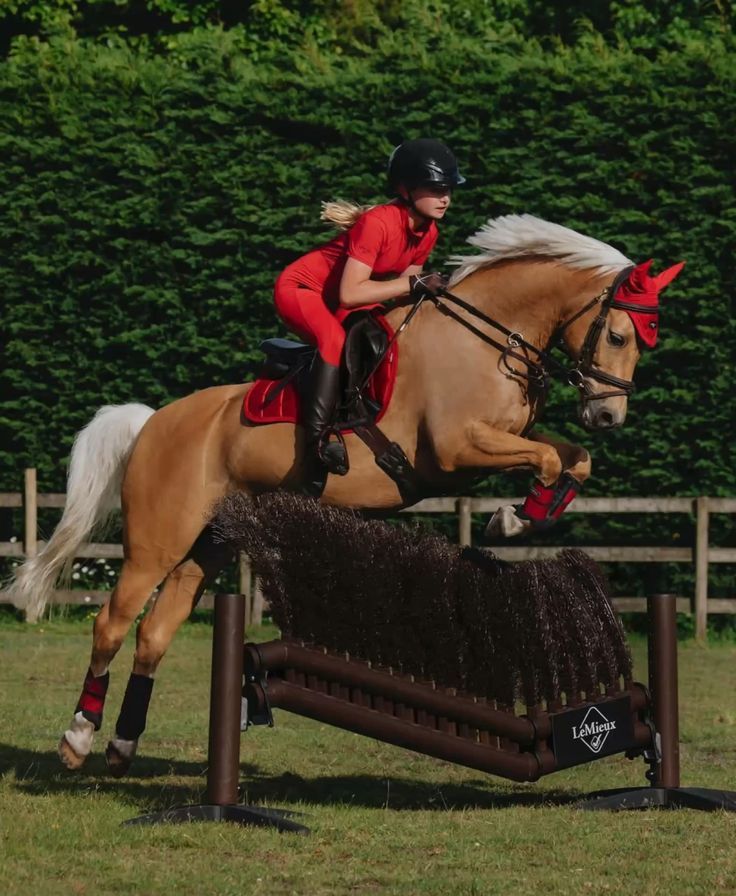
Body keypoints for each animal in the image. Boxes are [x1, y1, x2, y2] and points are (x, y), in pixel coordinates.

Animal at [7, 213, 683, 774]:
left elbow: (572, 460)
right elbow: (547, 458)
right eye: (619, 336)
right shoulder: (455, 451)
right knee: (113, 624)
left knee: (155, 632)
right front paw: (510, 522)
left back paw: (123, 745)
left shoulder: (503, 437)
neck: (490, 337)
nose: (608, 416)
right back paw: (78, 738)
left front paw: (524, 514)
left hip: (209, 543)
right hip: (158, 542)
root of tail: (153, 422)